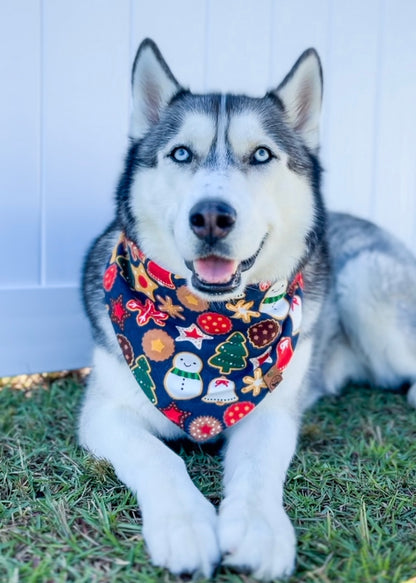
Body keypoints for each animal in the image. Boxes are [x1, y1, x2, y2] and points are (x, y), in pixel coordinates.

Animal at [79, 38, 416, 580]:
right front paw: (185, 525)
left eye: (261, 154)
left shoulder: (271, 410)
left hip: (366, 285)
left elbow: (257, 471)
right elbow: (159, 458)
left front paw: (259, 531)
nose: (212, 216)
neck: (208, 319)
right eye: (180, 153)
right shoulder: (106, 413)